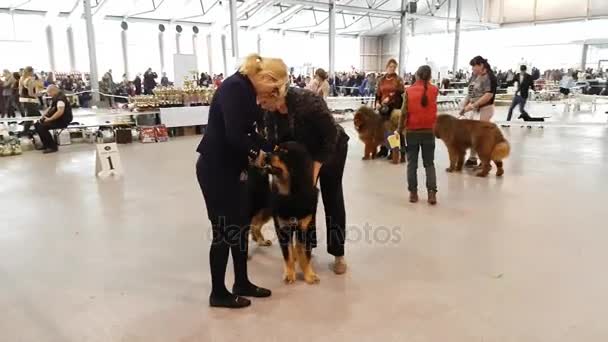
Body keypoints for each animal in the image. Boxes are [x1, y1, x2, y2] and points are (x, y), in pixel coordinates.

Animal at [248, 140, 320, 284]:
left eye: (284, 152)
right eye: (276, 149)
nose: (265, 156)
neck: (291, 194)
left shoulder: (305, 227)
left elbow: (305, 253)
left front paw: (308, 274)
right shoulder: (282, 227)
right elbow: (287, 254)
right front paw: (289, 274)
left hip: (266, 212)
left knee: (256, 225)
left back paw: (261, 241)